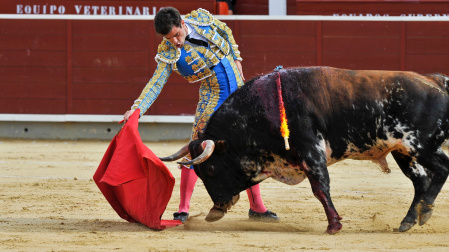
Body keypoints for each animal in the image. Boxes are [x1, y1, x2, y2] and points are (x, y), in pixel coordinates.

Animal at [161, 66, 448, 234]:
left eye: (210, 168)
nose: (217, 209)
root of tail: (435, 80)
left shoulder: (311, 151)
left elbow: (320, 188)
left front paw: (334, 225)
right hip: (404, 151)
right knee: (421, 181)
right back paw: (409, 220)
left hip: (420, 146)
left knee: (441, 168)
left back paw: (424, 212)